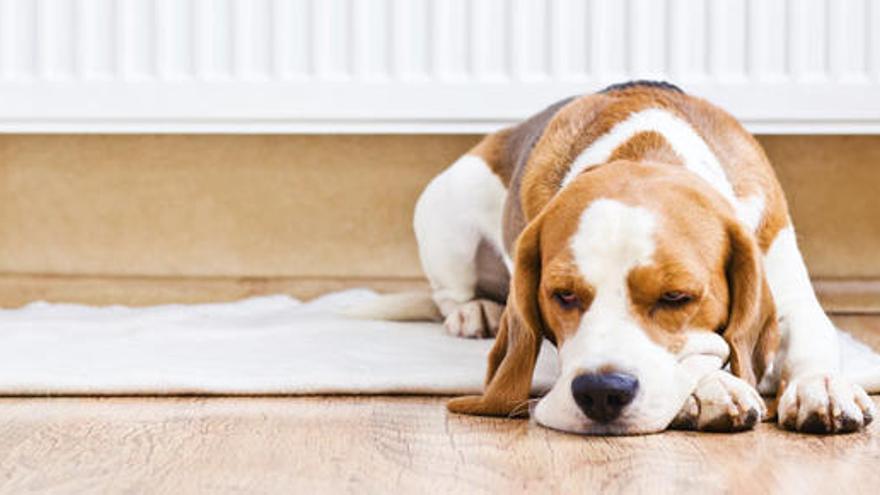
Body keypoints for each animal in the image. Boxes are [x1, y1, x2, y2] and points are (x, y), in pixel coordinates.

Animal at [370, 80, 872, 434]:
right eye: (562, 295)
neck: (646, 149)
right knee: (449, 294)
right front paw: (711, 387)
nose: (600, 393)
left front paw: (820, 387)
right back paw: (475, 311)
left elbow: (810, 338)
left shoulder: (786, 286)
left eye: (676, 297)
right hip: (445, 208)